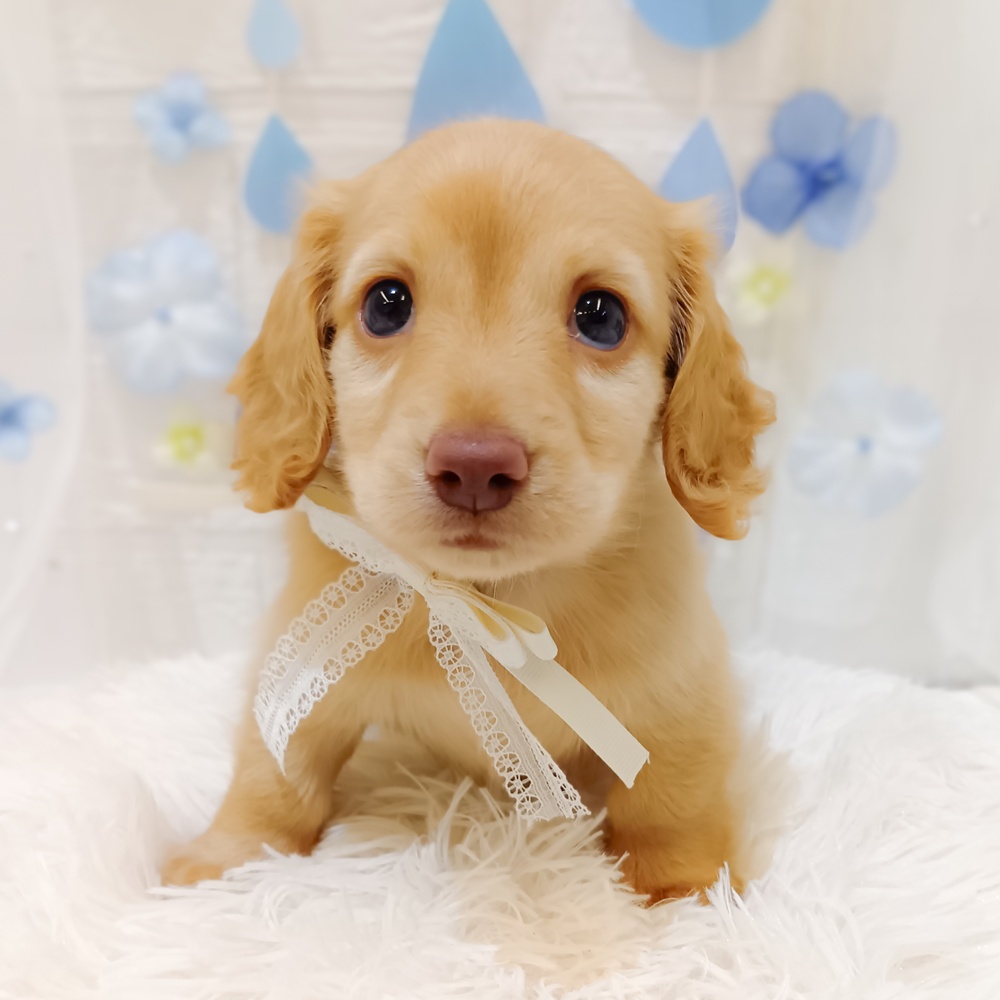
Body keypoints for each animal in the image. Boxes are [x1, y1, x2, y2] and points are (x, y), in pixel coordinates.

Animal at [161, 119, 775, 902]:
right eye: (386, 304)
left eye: (601, 316)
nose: (476, 466)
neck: (487, 605)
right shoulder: (303, 670)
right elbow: (273, 769)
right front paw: (229, 858)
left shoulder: (682, 690)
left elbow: (675, 799)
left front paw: (689, 896)